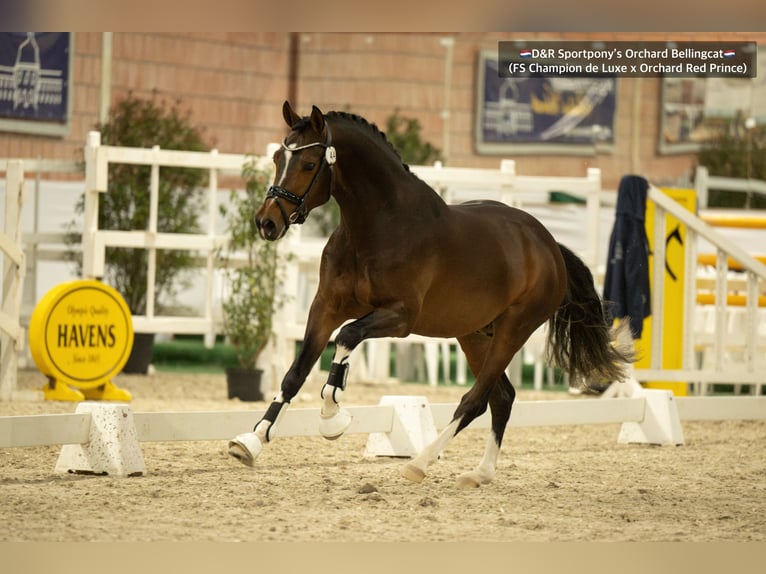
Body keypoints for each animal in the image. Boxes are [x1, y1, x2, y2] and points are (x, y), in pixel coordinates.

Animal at [230, 101, 636, 488]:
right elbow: (295, 373)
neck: (377, 226)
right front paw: (251, 442)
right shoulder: (326, 307)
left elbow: (346, 337)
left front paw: (332, 417)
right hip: (475, 334)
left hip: (513, 330)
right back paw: (480, 474)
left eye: (310, 163)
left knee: (475, 400)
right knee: (502, 397)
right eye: (278, 158)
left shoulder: (400, 317)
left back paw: (419, 464)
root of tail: (549, 245)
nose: (266, 222)